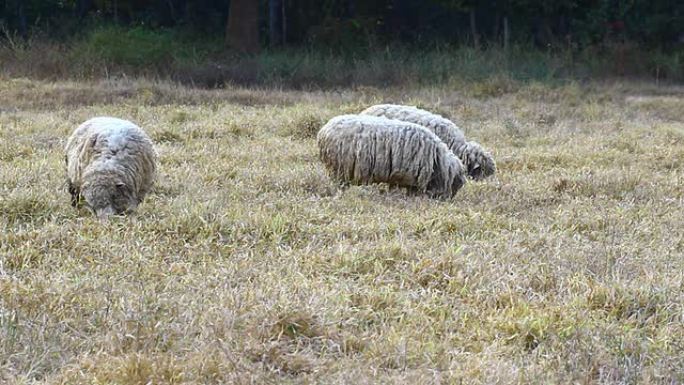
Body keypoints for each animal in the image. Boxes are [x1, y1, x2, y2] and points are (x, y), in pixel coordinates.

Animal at [318, 114, 468, 198]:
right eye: (456, 183)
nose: (448, 200)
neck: (436, 159)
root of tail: (323, 131)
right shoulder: (405, 176)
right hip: (339, 169)